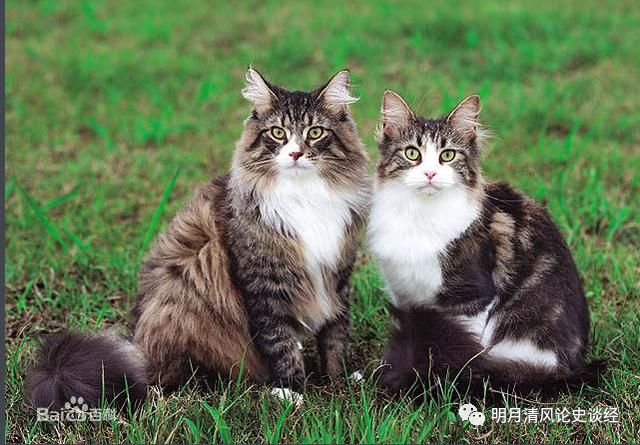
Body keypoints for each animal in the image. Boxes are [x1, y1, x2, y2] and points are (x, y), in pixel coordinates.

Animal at [26, 67, 370, 408]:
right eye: (277, 133)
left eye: (315, 133)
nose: (296, 153)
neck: (305, 195)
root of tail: (136, 345)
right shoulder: (262, 287)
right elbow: (279, 344)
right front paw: (292, 391)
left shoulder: (338, 275)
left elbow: (336, 337)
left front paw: (340, 382)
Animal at [368, 90, 604, 396]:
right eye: (412, 153)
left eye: (447, 155)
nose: (430, 174)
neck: (419, 214)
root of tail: (570, 366)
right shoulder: (404, 297)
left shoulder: (472, 297)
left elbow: (467, 346)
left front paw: (453, 377)